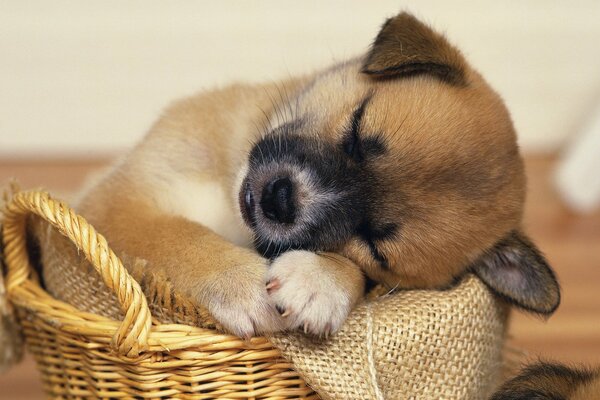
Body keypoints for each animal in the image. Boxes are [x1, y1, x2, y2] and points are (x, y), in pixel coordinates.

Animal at [72, 11, 560, 338]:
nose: (280, 200)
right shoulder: (119, 199)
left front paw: (322, 281)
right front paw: (239, 284)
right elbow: (177, 236)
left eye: (374, 244)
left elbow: (356, 277)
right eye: (357, 130)